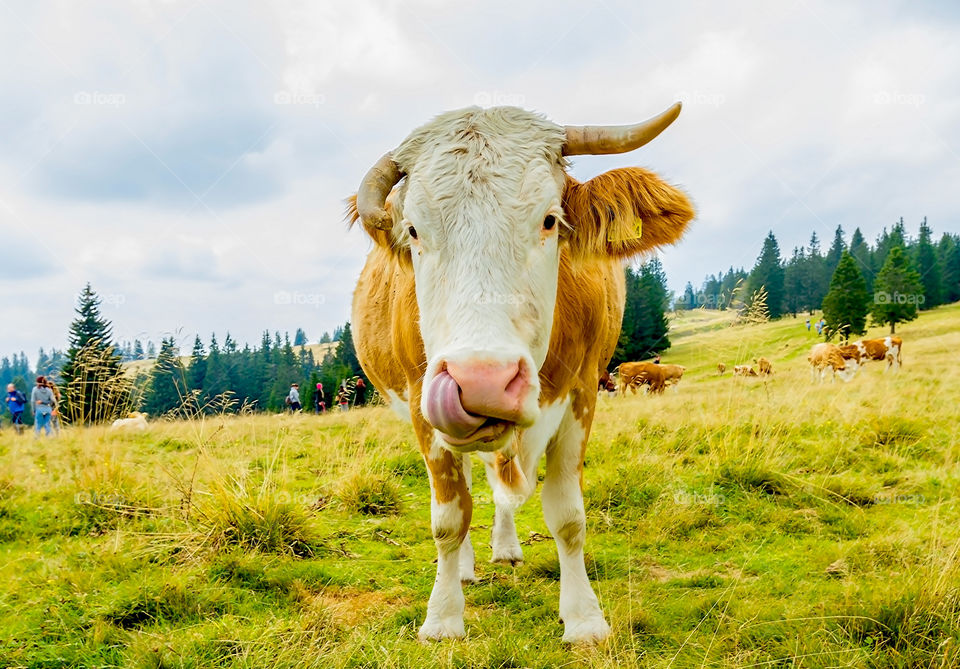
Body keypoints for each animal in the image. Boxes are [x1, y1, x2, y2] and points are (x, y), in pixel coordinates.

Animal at [350, 103, 694, 642]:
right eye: (413, 231)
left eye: (550, 219)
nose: (481, 382)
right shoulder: (423, 408)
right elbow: (449, 518)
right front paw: (443, 616)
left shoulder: (583, 393)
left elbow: (568, 516)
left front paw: (584, 618)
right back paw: (466, 566)